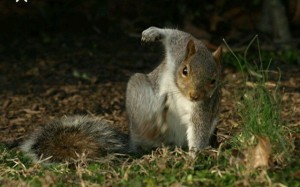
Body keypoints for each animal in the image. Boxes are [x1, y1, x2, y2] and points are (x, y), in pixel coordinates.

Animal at [20, 26, 220, 162]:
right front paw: (153, 33)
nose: (194, 95)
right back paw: (154, 122)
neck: (180, 90)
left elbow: (199, 128)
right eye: (185, 70)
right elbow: (174, 35)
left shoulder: (203, 106)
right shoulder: (178, 49)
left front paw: (194, 156)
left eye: (214, 80)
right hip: (137, 91)